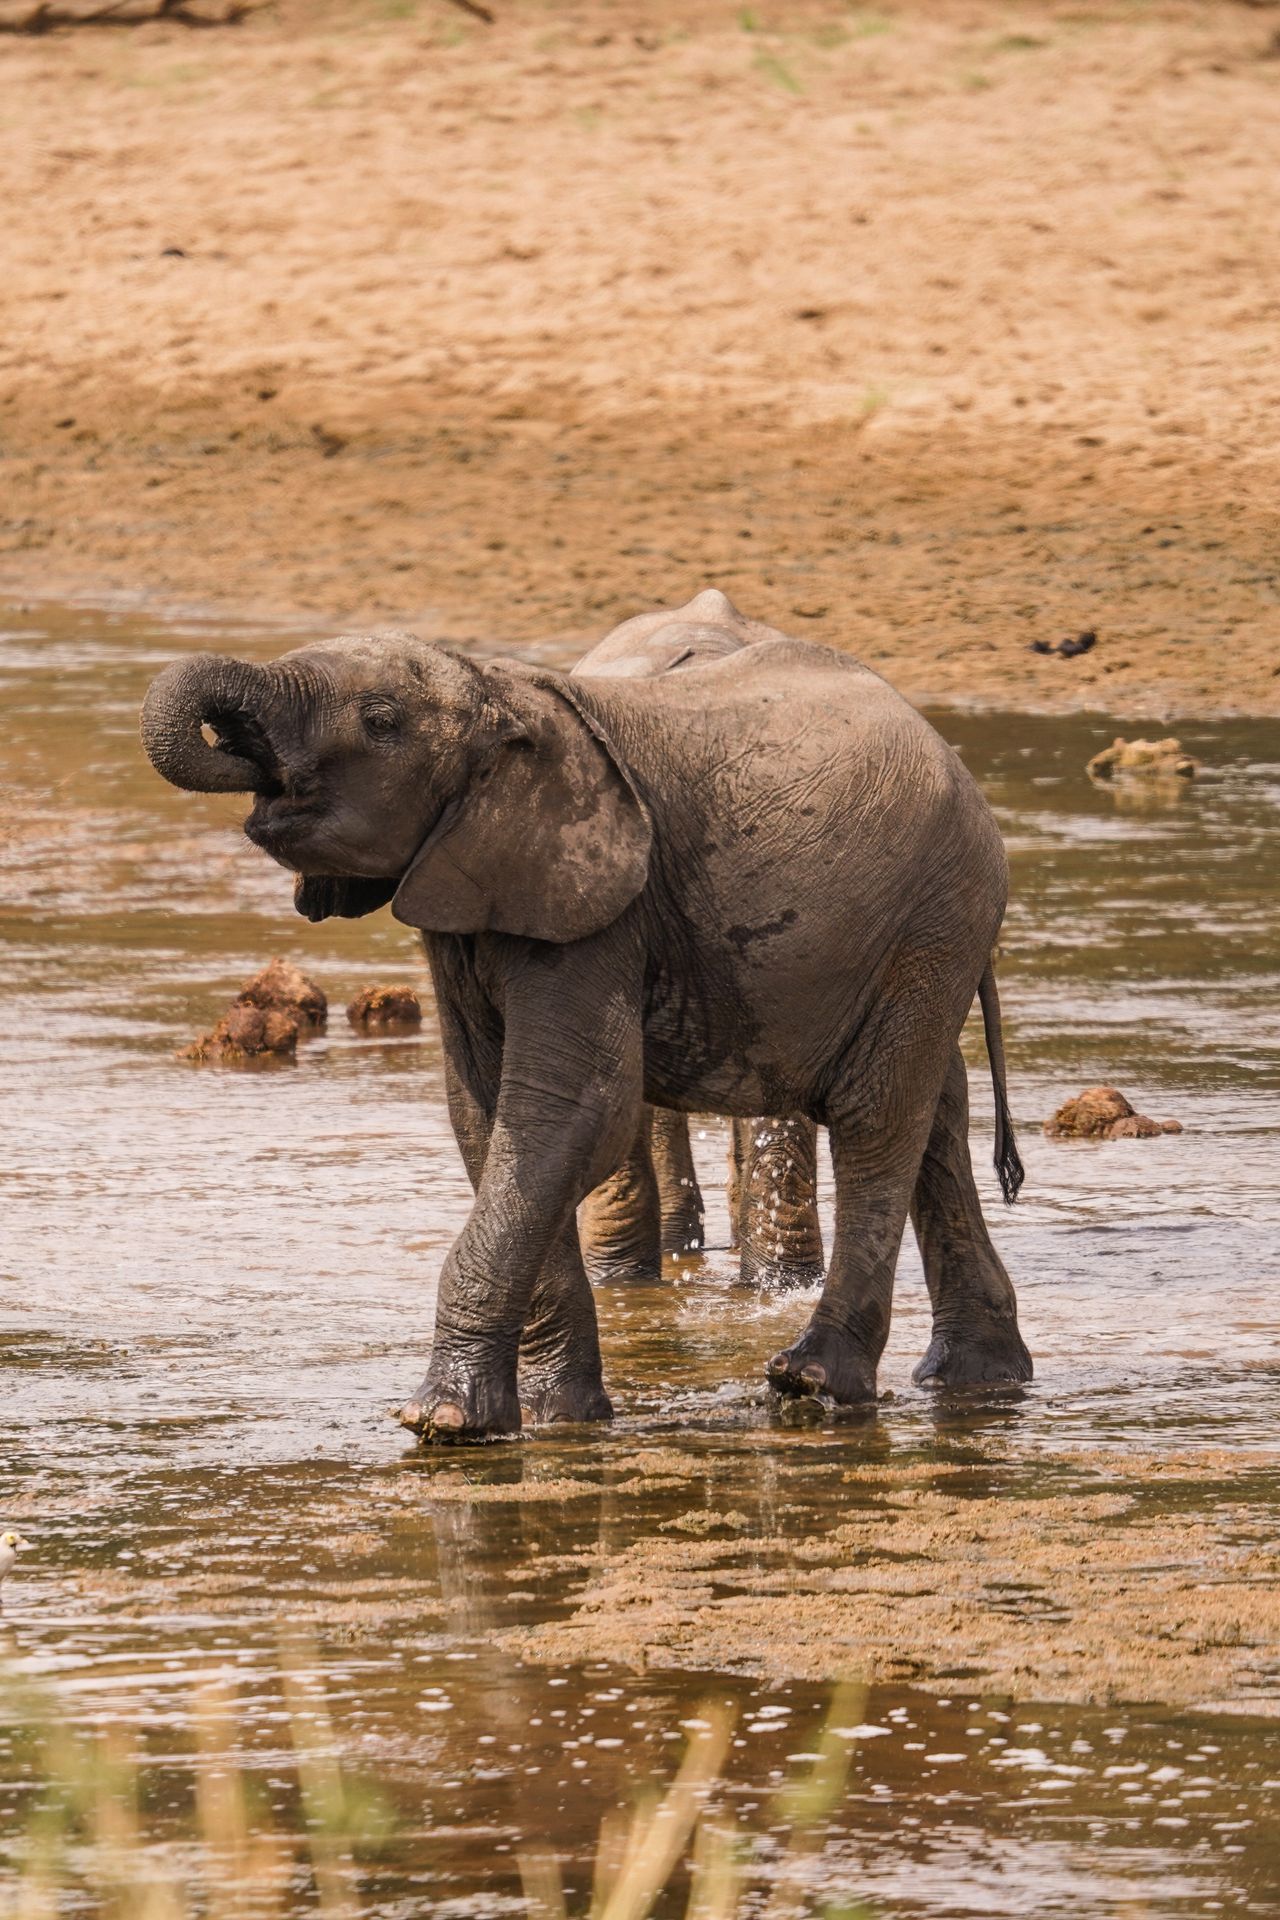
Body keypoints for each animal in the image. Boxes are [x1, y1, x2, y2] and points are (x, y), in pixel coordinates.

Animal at [141, 588, 1031, 1440]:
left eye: (382, 721)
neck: (498, 693)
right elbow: (486, 1114)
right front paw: (552, 1418)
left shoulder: (599, 907)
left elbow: (571, 1112)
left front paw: (441, 1423)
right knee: (933, 1113)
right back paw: (978, 1382)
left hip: (934, 916)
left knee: (873, 1118)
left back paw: (813, 1383)